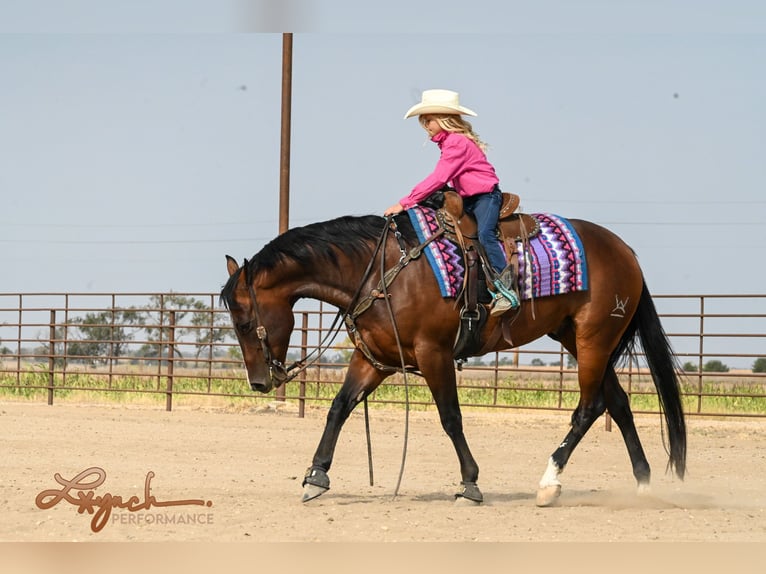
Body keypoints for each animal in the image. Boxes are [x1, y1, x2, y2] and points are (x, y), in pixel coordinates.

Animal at [219, 208, 688, 508]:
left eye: (243, 322)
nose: (259, 382)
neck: (382, 271)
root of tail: (624, 250)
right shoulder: (374, 358)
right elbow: (339, 408)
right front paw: (315, 477)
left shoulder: (434, 354)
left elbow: (450, 417)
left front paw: (470, 484)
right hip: (579, 338)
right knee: (619, 402)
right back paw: (643, 484)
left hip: (593, 339)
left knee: (590, 407)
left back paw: (549, 484)